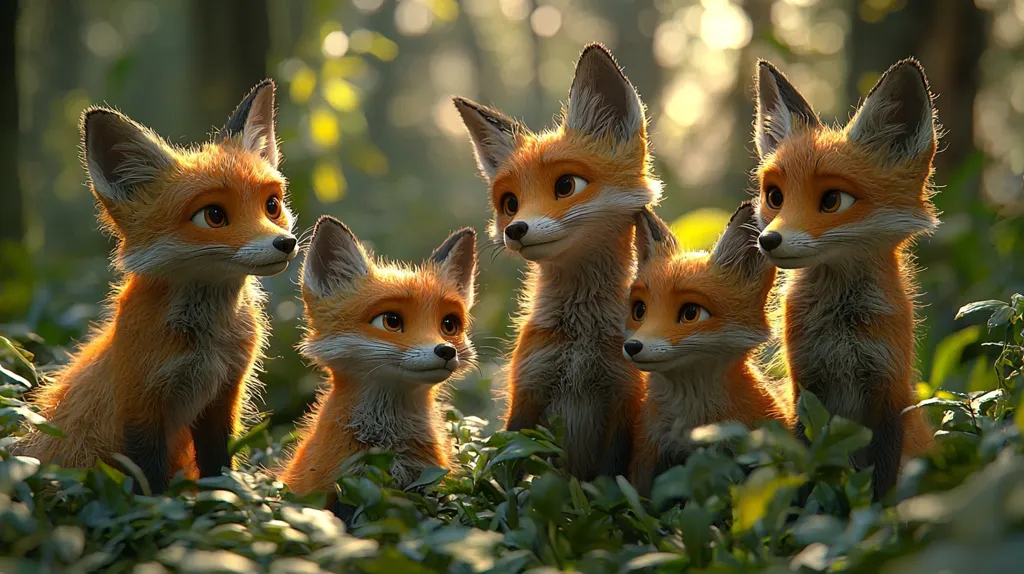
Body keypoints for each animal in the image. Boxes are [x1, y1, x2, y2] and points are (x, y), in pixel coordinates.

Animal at [13, 80, 297, 494]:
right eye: (213, 216)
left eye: (272, 205)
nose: (286, 244)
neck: (204, 346)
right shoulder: (140, 406)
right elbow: (150, 482)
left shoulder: (223, 398)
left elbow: (219, 469)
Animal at [452, 43, 661, 480]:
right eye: (509, 203)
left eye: (566, 185)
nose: (516, 230)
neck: (580, 342)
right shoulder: (527, 395)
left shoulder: (623, 402)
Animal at [751, 59, 937, 500]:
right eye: (775, 197)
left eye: (833, 200)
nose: (768, 241)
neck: (842, 332)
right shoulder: (806, 389)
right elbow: (806, 479)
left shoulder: (888, 394)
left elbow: (880, 488)